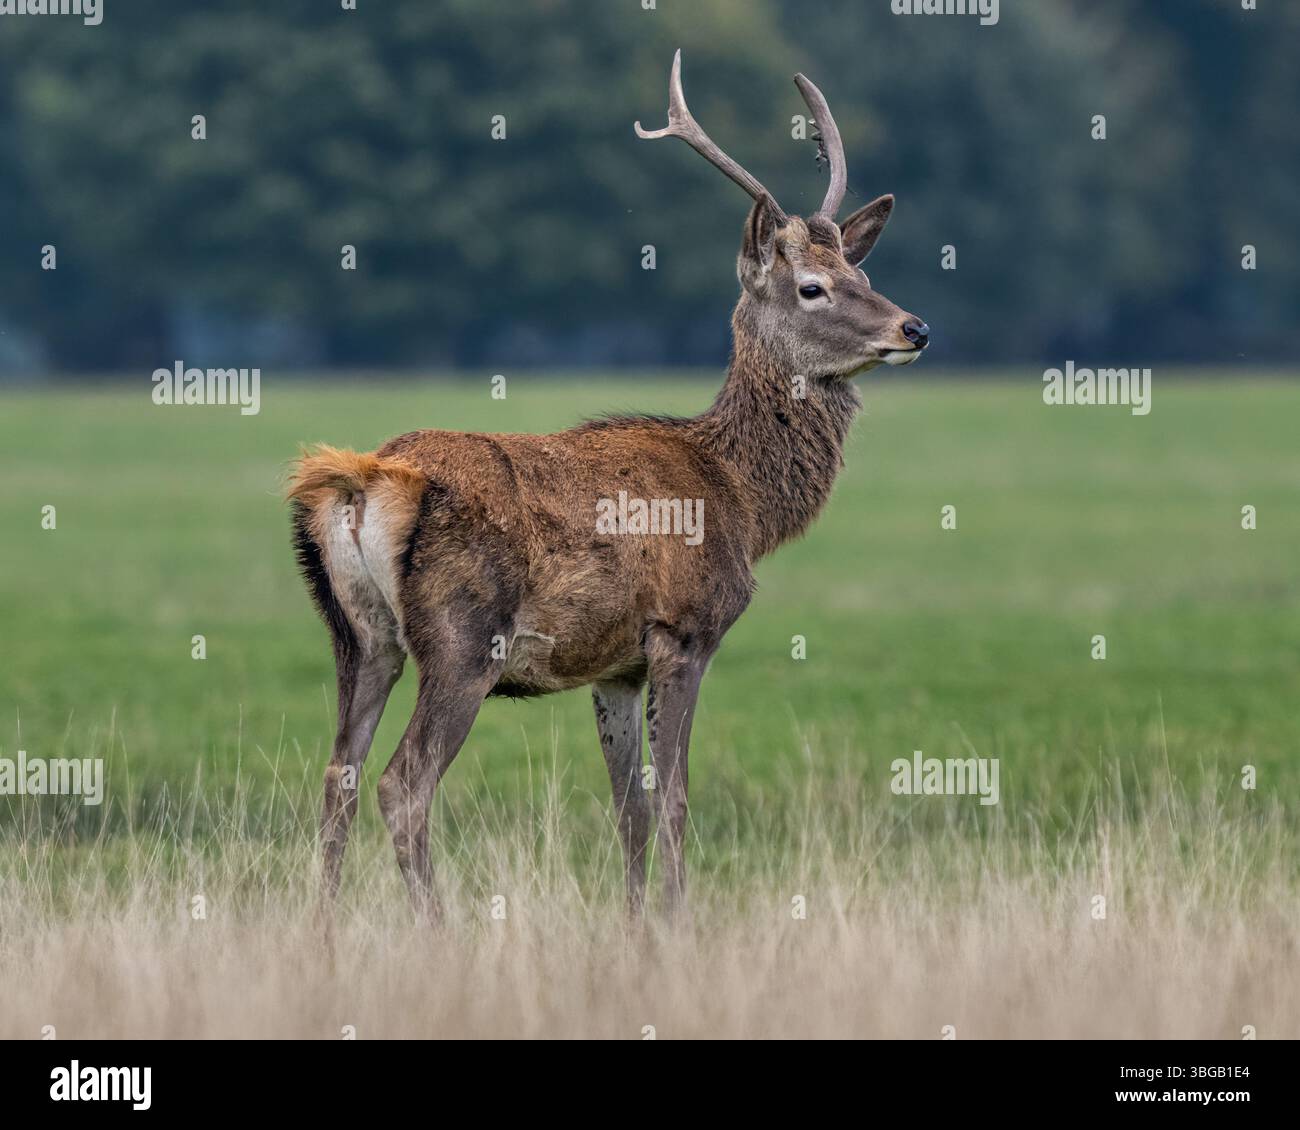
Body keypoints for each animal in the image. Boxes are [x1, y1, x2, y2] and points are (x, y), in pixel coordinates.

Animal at [287, 50, 928, 923]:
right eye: (812, 287)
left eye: (861, 267)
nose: (914, 327)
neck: (741, 498)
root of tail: (367, 479)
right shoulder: (686, 630)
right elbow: (677, 800)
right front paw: (679, 921)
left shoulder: (614, 664)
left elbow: (628, 809)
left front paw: (635, 928)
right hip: (462, 637)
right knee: (402, 785)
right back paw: (437, 931)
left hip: (358, 636)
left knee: (338, 777)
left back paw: (320, 933)